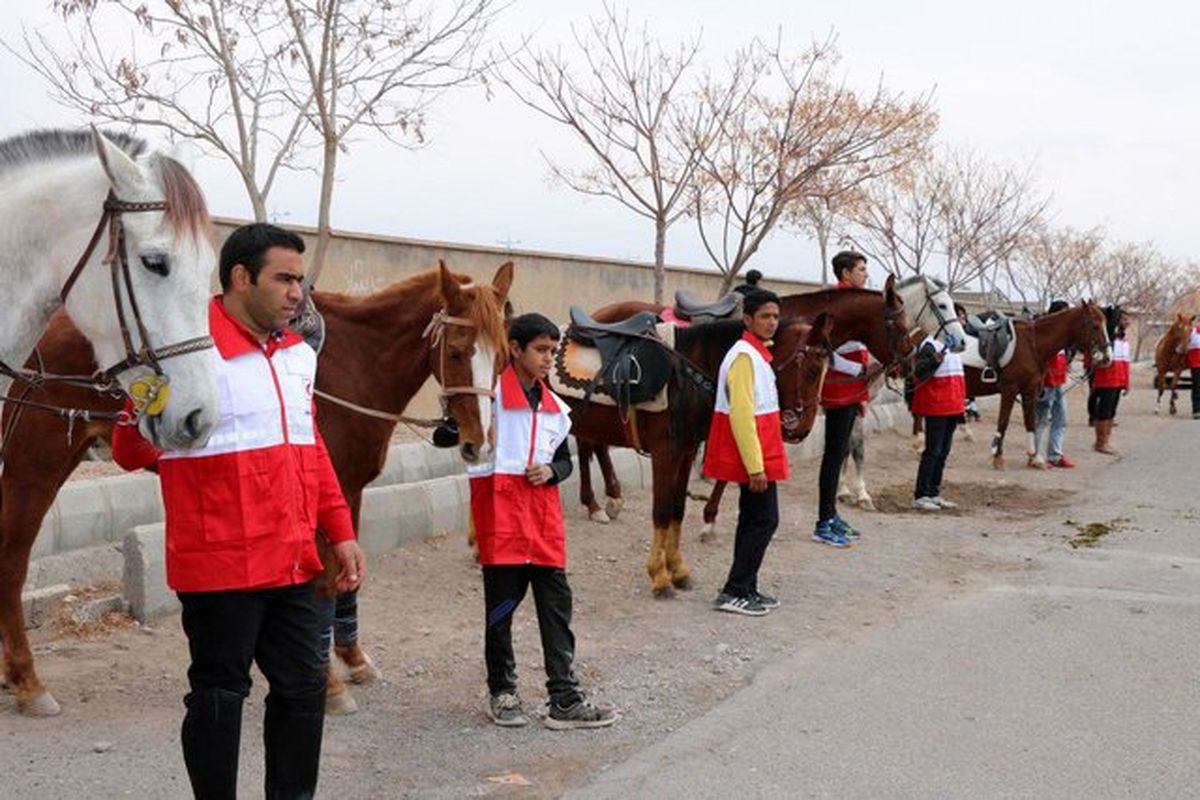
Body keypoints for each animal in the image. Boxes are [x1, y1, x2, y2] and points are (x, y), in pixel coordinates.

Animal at [0, 263, 511, 719]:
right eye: (458, 351)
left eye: (503, 356)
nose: (478, 442)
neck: (352, 363)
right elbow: (324, 582)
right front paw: (329, 684)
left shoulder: (347, 489)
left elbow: (348, 578)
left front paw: (353, 658)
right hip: (33, 468)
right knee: (13, 562)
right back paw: (28, 681)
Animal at [564, 311, 835, 594]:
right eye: (813, 371)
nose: (803, 429)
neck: (687, 376)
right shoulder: (665, 453)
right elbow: (661, 511)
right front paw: (659, 576)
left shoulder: (686, 452)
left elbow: (677, 509)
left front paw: (678, 570)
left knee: (588, 444)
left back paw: (597, 504)